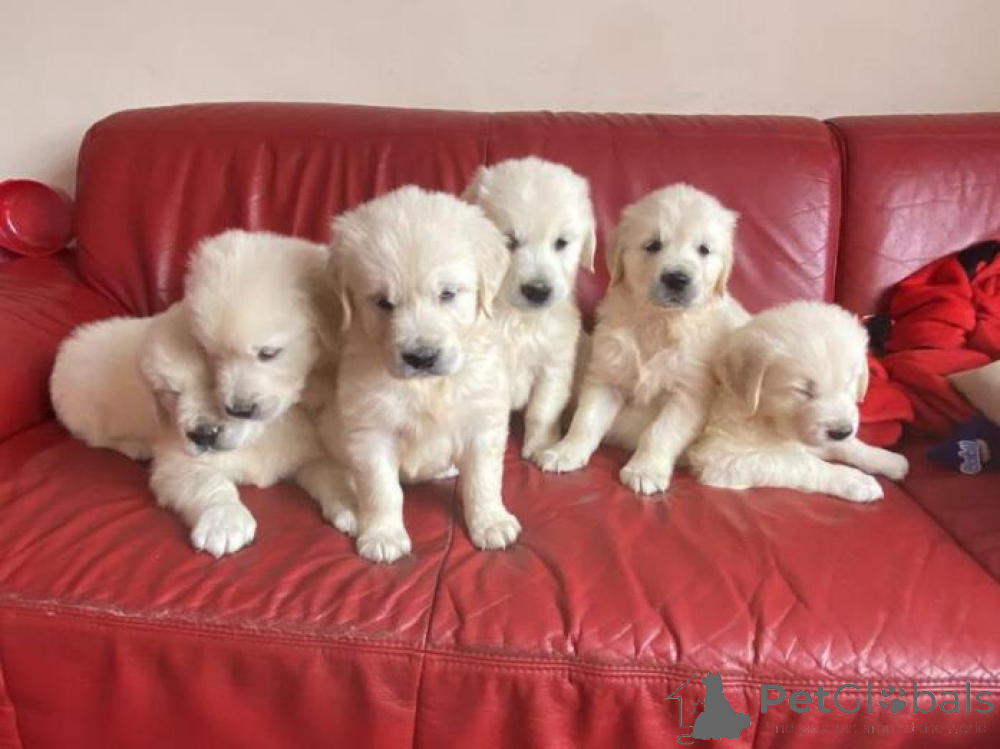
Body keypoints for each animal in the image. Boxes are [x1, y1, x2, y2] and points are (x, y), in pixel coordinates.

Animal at [320, 186, 518, 563]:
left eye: (447, 294)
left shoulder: (482, 419)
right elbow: (381, 489)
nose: (422, 358)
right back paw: (348, 510)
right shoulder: (370, 430)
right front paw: (383, 535)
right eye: (383, 302)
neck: (427, 386)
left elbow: (483, 480)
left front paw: (491, 522)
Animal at [463, 157, 595, 462]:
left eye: (561, 243)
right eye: (509, 241)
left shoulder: (554, 365)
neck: (519, 319)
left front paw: (541, 445)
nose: (537, 290)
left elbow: (542, 411)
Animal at [539, 184, 749, 494]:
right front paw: (565, 452)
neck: (658, 321)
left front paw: (645, 470)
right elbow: (586, 420)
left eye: (704, 249)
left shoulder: (688, 394)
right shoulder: (607, 375)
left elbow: (659, 432)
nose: (677, 279)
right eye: (653, 245)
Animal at [688, 300, 909, 502]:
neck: (767, 418)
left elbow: (847, 446)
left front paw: (886, 459)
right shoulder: (719, 457)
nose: (841, 432)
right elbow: (801, 463)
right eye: (803, 391)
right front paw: (854, 480)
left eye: (848, 385)